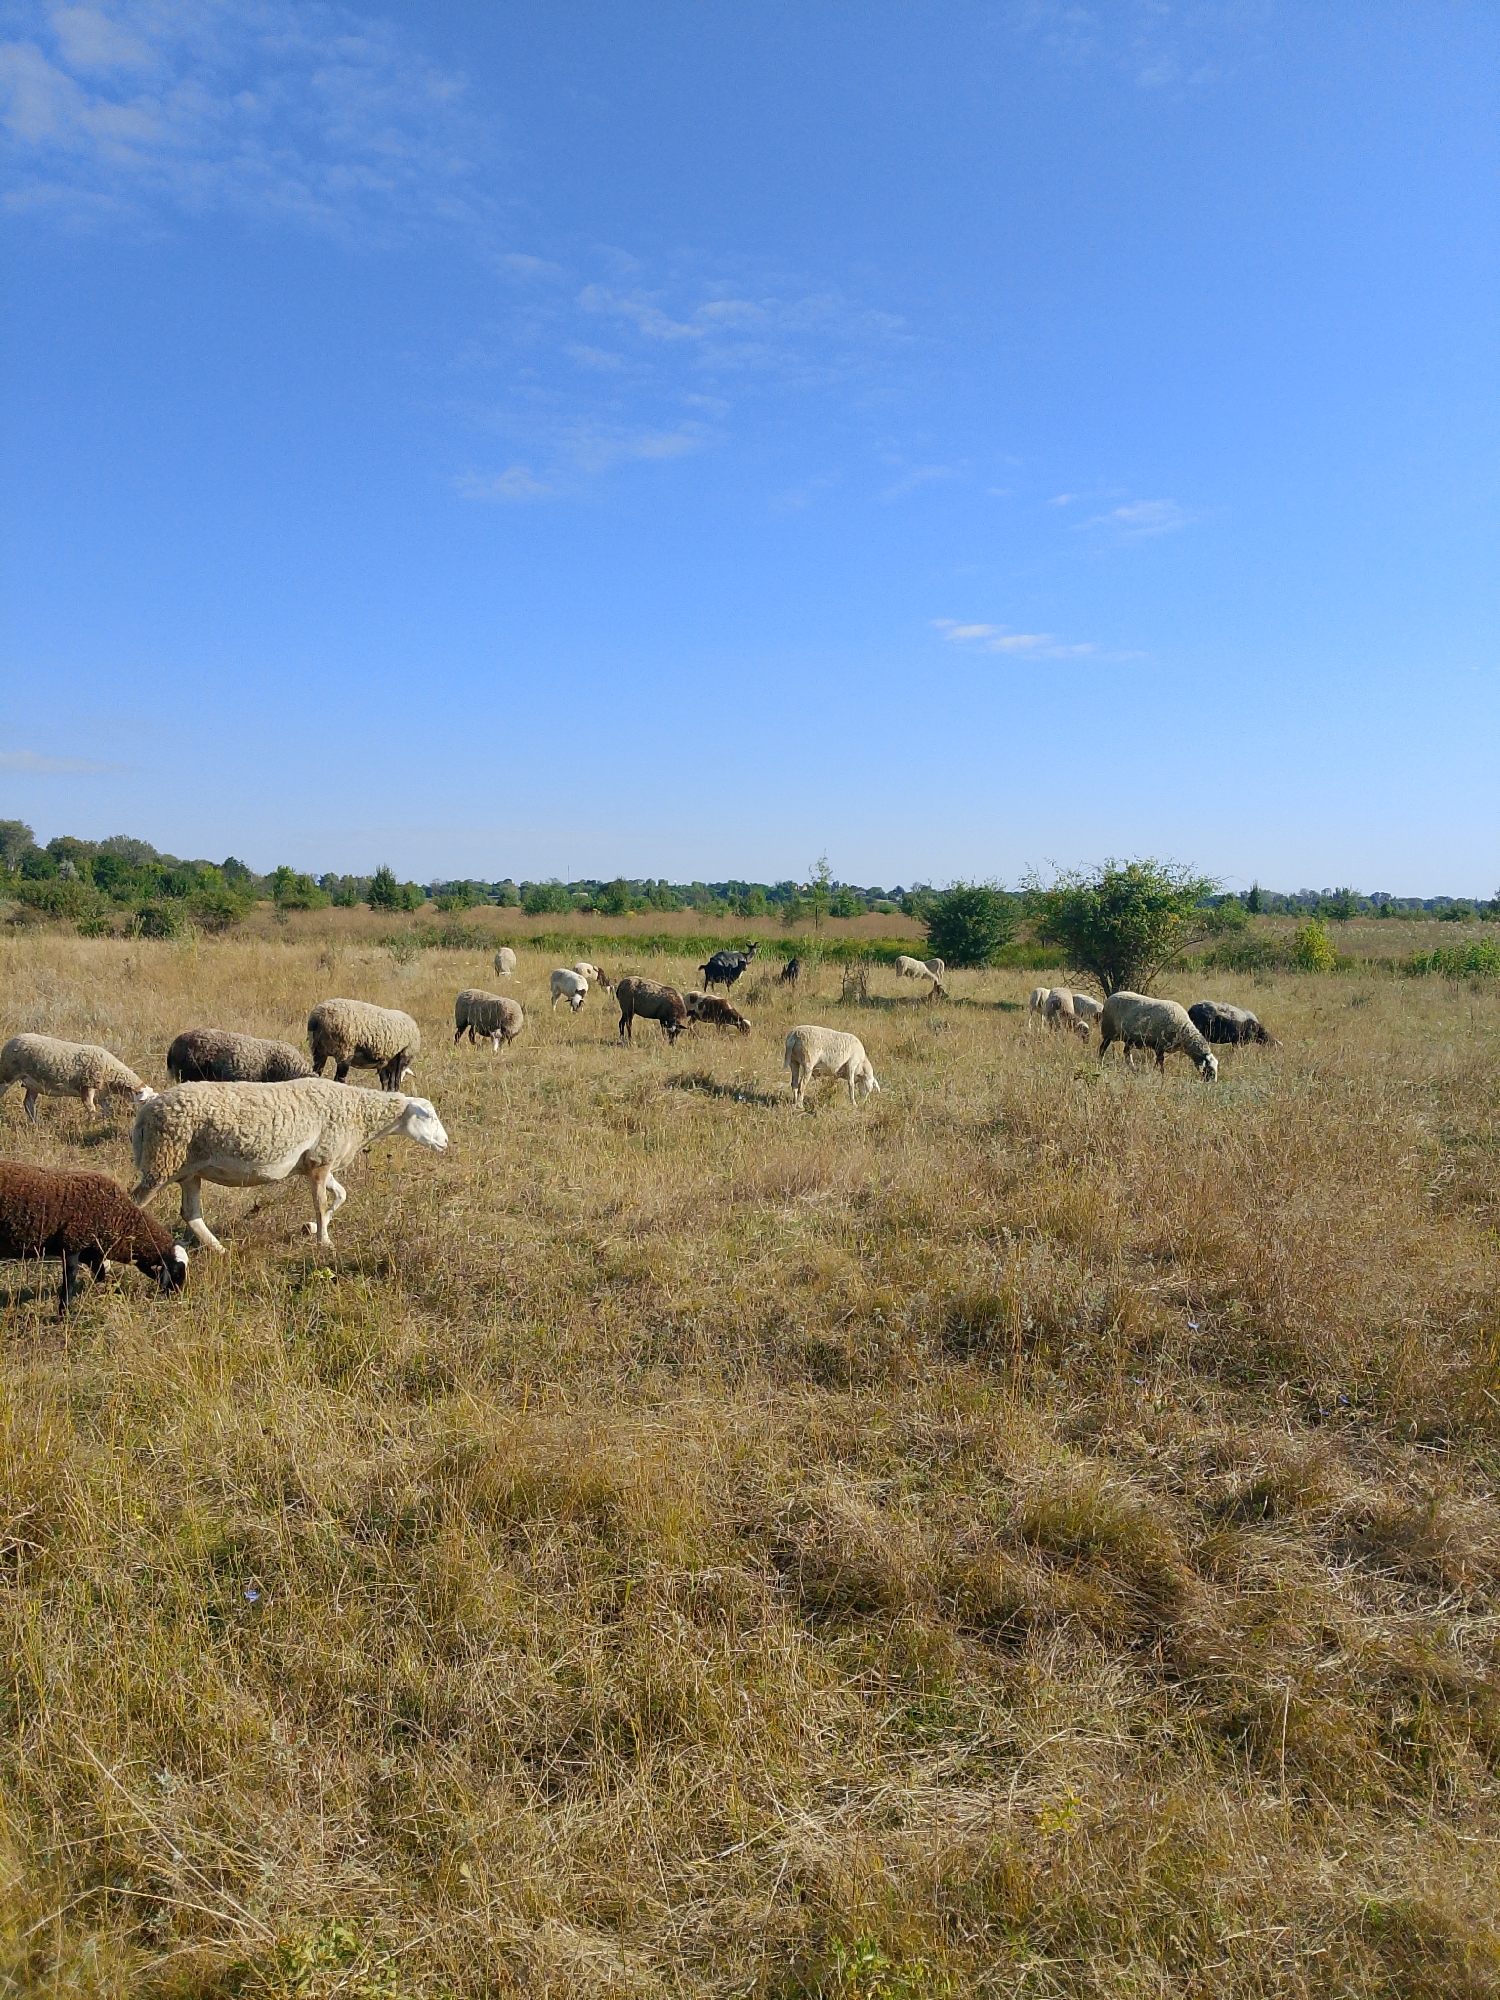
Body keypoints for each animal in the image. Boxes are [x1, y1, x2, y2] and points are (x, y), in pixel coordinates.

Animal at [0, 1034, 156, 1124]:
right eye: (145, 1102)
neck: (111, 1071)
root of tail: (14, 1038)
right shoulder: (87, 1086)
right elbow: (91, 1108)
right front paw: (89, 1123)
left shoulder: (100, 1093)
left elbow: (106, 1108)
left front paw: (98, 1120)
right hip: (8, 1073)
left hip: (33, 1083)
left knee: (28, 1103)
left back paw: (36, 1123)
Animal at [0, 1163, 189, 1314]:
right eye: (176, 1270)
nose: (178, 1294)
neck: (120, 1218)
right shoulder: (73, 1244)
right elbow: (70, 1279)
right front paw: (65, 1313)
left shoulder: (91, 1253)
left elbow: (103, 1274)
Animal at [131, 1080, 448, 1253]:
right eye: (429, 1116)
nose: (446, 1143)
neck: (358, 1114)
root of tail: (144, 1114)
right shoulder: (321, 1160)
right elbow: (321, 1203)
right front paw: (324, 1241)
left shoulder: (318, 1161)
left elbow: (341, 1195)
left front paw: (314, 1228)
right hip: (162, 1162)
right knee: (135, 1203)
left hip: (187, 1170)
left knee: (191, 1214)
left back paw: (220, 1249)